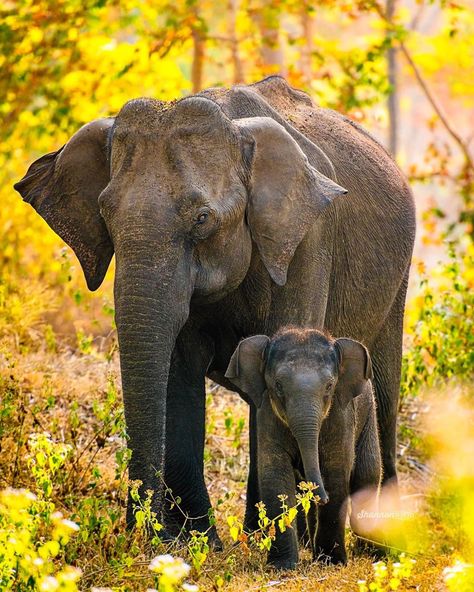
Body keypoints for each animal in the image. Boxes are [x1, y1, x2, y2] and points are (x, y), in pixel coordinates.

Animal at [14, 76, 414, 544]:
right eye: (104, 215)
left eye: (202, 218)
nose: (139, 531)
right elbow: (179, 371)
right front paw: (198, 542)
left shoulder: (309, 239)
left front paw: (245, 538)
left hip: (397, 284)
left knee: (384, 390)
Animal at [225, 328, 382, 568]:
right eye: (278, 385)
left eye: (329, 386)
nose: (322, 498)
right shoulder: (267, 416)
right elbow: (275, 474)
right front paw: (282, 566)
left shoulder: (341, 416)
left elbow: (336, 472)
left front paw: (332, 563)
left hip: (369, 417)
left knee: (367, 476)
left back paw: (371, 551)